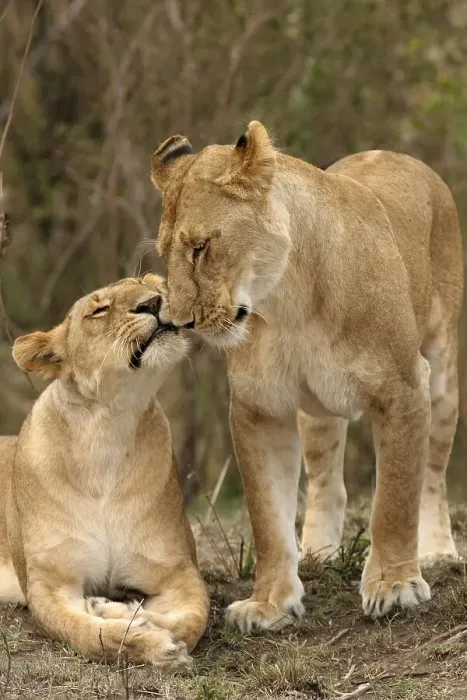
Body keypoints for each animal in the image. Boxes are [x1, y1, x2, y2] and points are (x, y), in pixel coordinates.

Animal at [0, 275, 209, 667]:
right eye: (99, 309)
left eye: (151, 283)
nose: (153, 302)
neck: (108, 430)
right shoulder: (50, 582)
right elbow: (88, 633)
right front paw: (152, 644)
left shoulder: (176, 569)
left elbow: (194, 619)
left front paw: (124, 612)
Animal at [150, 122, 464, 632]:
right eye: (164, 253)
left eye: (200, 248)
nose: (180, 323)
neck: (288, 301)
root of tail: (397, 154)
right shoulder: (260, 410)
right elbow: (268, 517)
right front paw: (270, 604)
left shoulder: (403, 388)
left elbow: (395, 498)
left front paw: (394, 587)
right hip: (316, 414)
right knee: (326, 480)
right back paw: (319, 552)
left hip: (442, 375)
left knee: (433, 473)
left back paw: (438, 553)